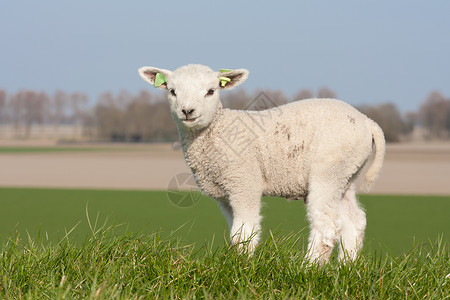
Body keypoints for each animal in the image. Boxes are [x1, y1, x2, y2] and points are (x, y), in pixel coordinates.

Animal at [137, 63, 384, 262]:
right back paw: (346, 268)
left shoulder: (244, 182)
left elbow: (245, 231)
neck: (216, 131)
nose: (187, 111)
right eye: (172, 91)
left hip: (329, 169)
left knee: (327, 224)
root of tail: (367, 122)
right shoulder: (225, 194)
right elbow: (236, 232)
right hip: (347, 174)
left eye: (211, 91)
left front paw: (242, 267)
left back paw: (309, 268)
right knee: (354, 220)